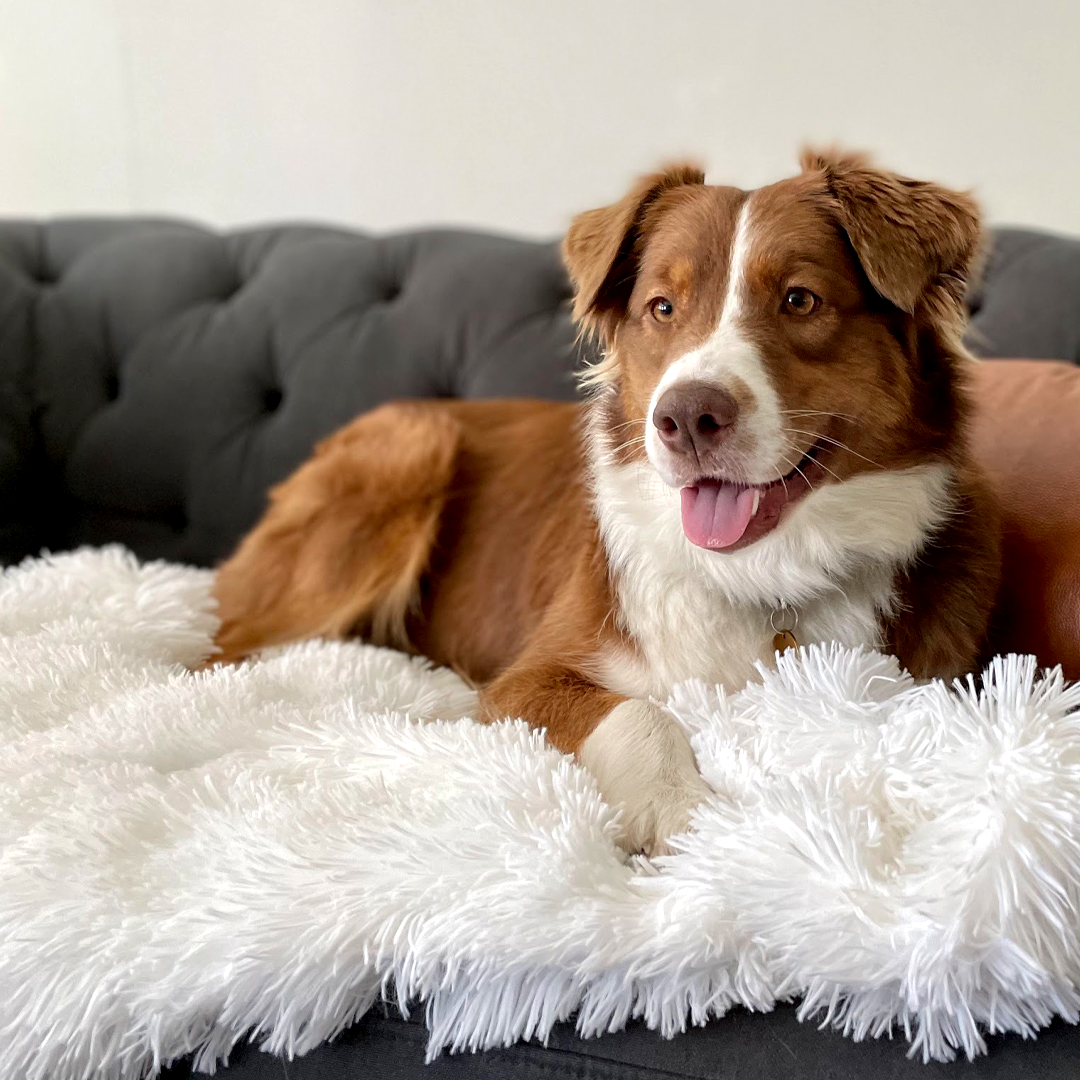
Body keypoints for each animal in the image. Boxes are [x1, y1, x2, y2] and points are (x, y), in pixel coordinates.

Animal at [210, 152, 1002, 855]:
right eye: (662, 308)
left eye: (799, 299)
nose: (685, 417)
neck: (757, 575)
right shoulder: (523, 682)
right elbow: (641, 712)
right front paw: (682, 812)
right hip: (410, 445)